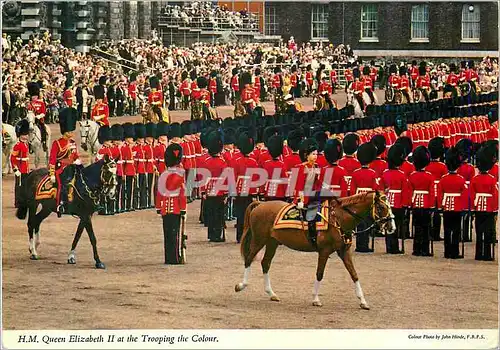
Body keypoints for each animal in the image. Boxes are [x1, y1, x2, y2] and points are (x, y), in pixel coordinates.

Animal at [234, 191, 394, 308]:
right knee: (249, 259)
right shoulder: (324, 251)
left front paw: (363, 301)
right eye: (381, 207)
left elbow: (354, 274)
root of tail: (260, 204)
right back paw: (241, 285)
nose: (391, 227)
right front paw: (316, 299)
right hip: (259, 240)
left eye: (389, 205)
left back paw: (271, 293)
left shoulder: (344, 251)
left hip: (272, 242)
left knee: (265, 263)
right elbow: (319, 273)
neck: (338, 218)